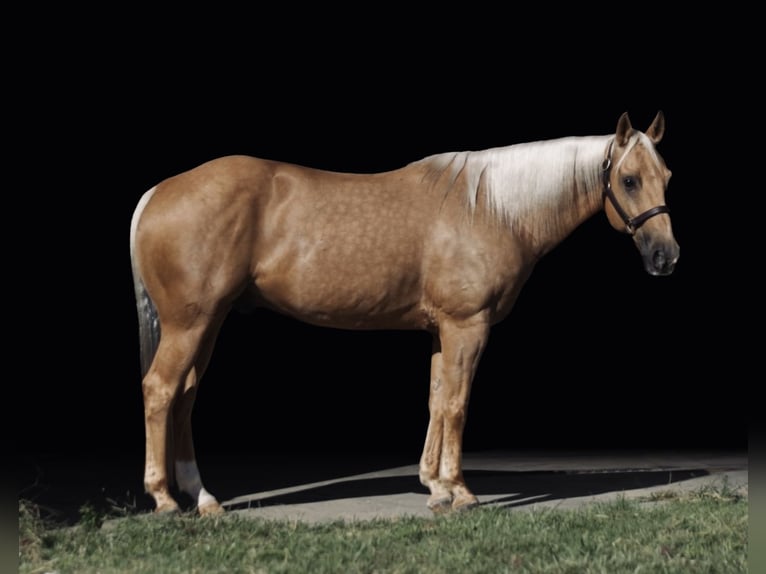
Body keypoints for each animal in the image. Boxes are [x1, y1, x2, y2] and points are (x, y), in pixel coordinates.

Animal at [130, 112, 680, 516]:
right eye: (629, 179)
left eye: (666, 177)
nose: (665, 257)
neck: (491, 208)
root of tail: (157, 192)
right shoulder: (466, 326)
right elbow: (456, 404)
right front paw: (460, 492)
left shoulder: (441, 331)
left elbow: (436, 400)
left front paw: (435, 486)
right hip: (190, 323)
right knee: (160, 390)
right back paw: (164, 499)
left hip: (207, 323)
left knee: (184, 395)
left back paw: (203, 499)